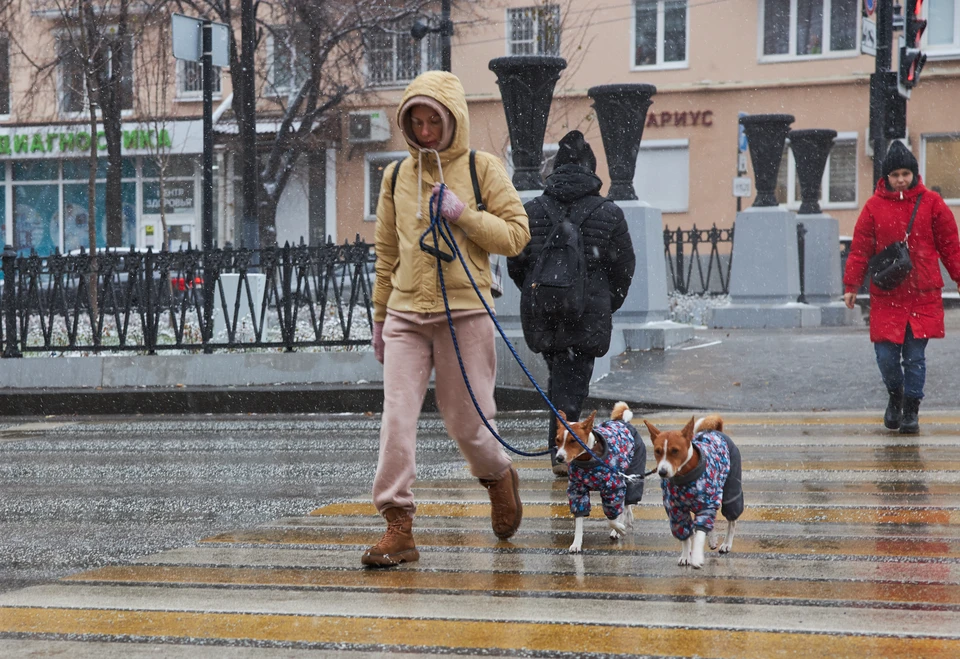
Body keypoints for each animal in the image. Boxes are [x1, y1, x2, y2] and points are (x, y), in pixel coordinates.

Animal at [556, 404, 644, 556]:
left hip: (631, 473)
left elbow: (612, 519)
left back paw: (619, 527)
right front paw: (576, 544)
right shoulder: (577, 490)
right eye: (557, 439)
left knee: (626, 502)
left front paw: (619, 529)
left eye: (573, 440)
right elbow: (579, 519)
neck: (588, 459)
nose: (559, 458)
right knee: (626, 504)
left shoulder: (613, 488)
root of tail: (623, 422)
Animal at [640, 416, 748, 568]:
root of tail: (716, 431)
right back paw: (712, 540)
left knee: (731, 521)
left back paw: (727, 543)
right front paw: (686, 556)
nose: (662, 471)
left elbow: (699, 535)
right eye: (657, 451)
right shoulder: (676, 512)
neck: (685, 479)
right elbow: (685, 536)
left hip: (730, 494)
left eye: (675, 450)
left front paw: (696, 557)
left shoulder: (706, 504)